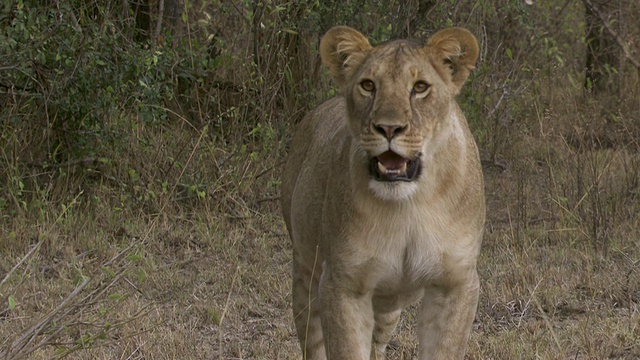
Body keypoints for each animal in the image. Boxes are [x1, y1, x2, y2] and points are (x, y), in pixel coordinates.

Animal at [280, 26, 484, 360]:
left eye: (420, 87)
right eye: (368, 85)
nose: (389, 128)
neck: (408, 206)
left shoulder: (455, 283)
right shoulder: (343, 284)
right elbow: (347, 349)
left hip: (389, 306)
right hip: (306, 275)